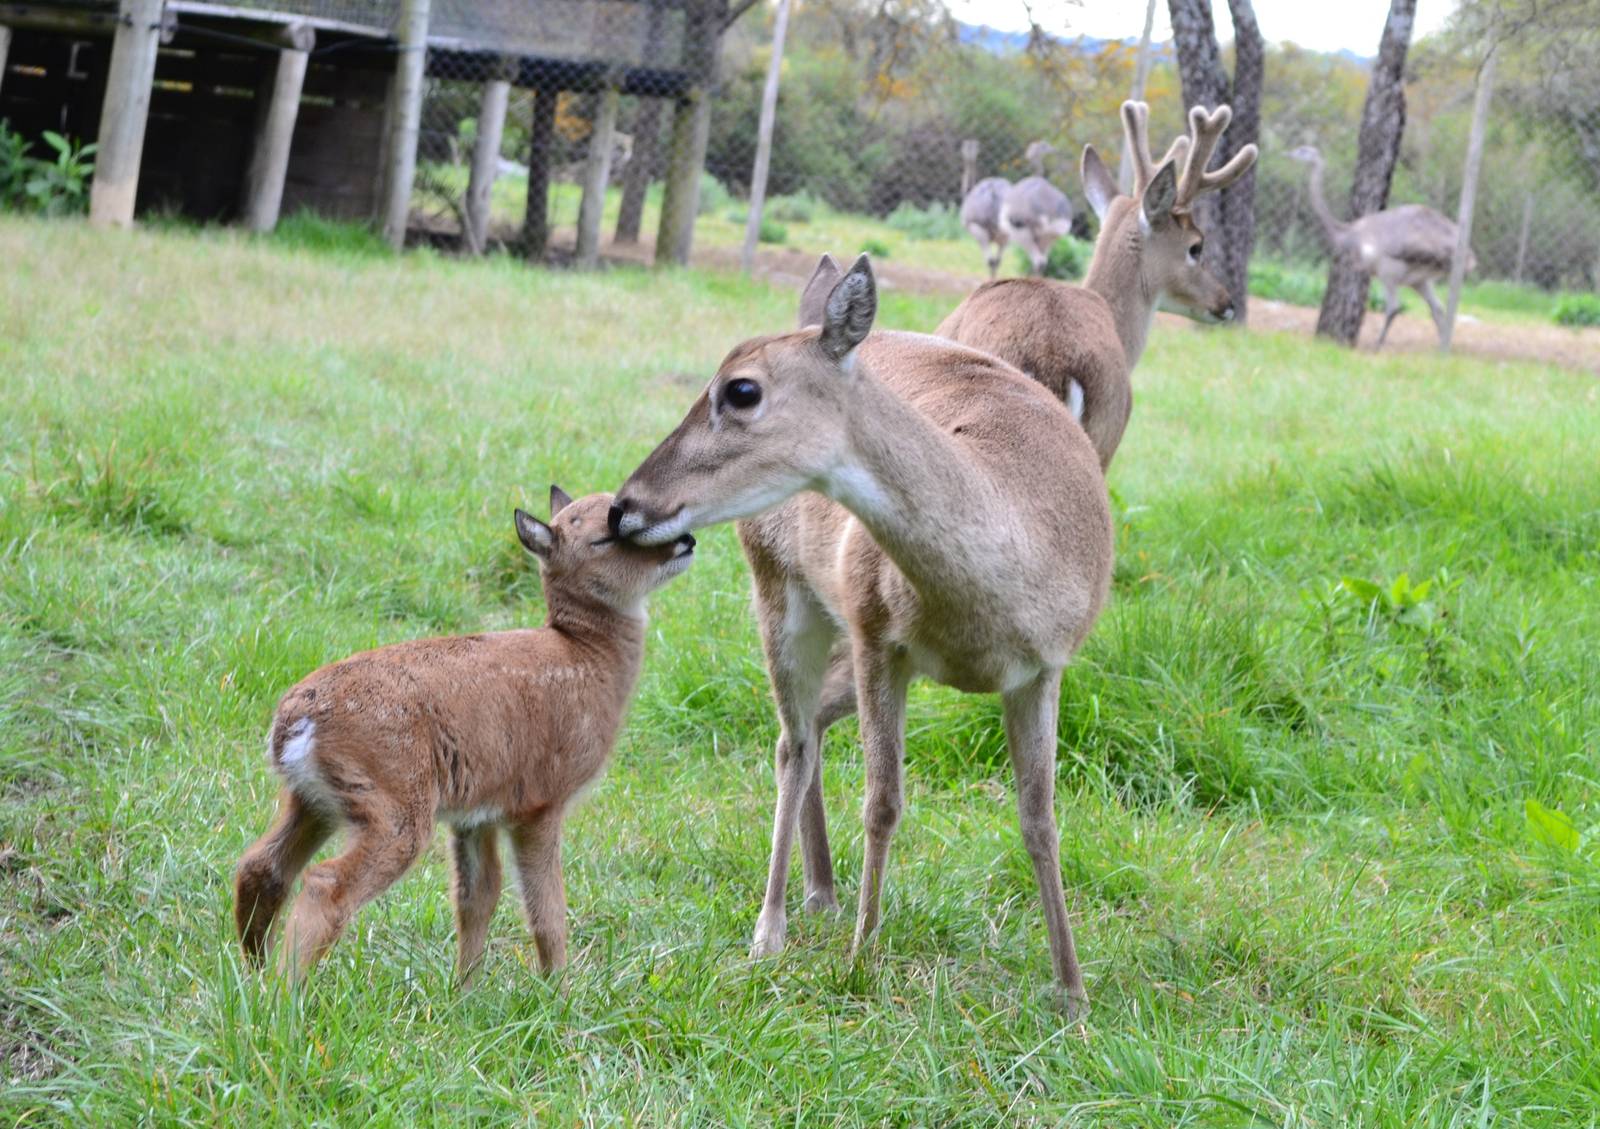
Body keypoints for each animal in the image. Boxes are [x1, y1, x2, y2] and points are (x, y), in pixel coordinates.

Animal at [233, 489, 694, 982]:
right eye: (605, 537)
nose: (685, 542)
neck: (587, 658)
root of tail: (294, 722)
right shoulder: (541, 799)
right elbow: (548, 909)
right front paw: (558, 991)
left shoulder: (477, 811)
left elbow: (478, 897)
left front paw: (465, 989)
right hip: (394, 803)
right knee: (325, 882)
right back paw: (286, 990)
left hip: (315, 800)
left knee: (262, 865)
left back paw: (254, 973)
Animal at [608, 254, 1114, 1013]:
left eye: (742, 389)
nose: (624, 508)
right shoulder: (881, 636)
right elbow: (883, 802)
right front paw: (861, 959)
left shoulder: (1045, 665)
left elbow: (1040, 816)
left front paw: (1073, 988)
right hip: (782, 589)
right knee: (792, 742)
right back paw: (772, 927)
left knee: (812, 726)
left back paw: (822, 890)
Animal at [1289, 144, 1475, 349]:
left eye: (1303, 151)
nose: (1289, 154)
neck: (1347, 233)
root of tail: (1467, 255)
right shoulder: (1412, 278)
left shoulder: (1387, 270)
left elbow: (1393, 309)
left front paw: (1376, 346)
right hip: (1421, 280)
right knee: (1438, 309)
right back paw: (1442, 348)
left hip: (1398, 272)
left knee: (1396, 308)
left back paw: (1381, 344)